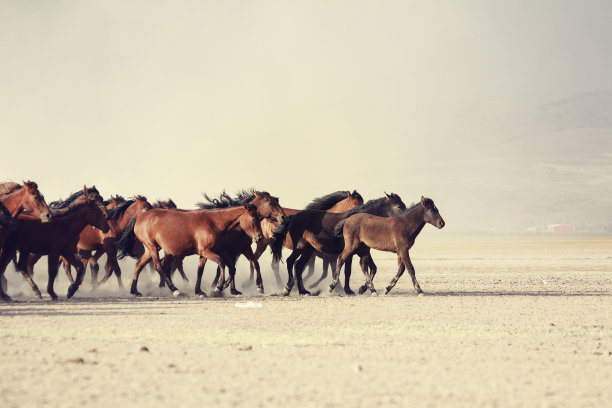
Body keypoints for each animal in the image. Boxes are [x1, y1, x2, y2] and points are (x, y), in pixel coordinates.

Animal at [118, 191, 286, 296]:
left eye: (258, 218)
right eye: (253, 218)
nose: (259, 237)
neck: (214, 223)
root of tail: (140, 217)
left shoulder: (211, 252)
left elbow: (204, 270)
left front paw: (201, 291)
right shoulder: (212, 251)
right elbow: (223, 264)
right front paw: (218, 287)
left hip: (152, 249)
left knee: (140, 265)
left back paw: (135, 291)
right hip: (153, 247)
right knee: (160, 266)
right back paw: (174, 290)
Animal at [272, 193, 406, 294]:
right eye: (398, 206)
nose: (405, 219)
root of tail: (293, 217)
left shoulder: (363, 251)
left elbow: (372, 268)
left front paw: (361, 288)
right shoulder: (353, 252)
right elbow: (348, 271)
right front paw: (349, 290)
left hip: (308, 250)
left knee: (298, 266)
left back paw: (302, 290)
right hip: (300, 248)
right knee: (291, 262)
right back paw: (289, 288)